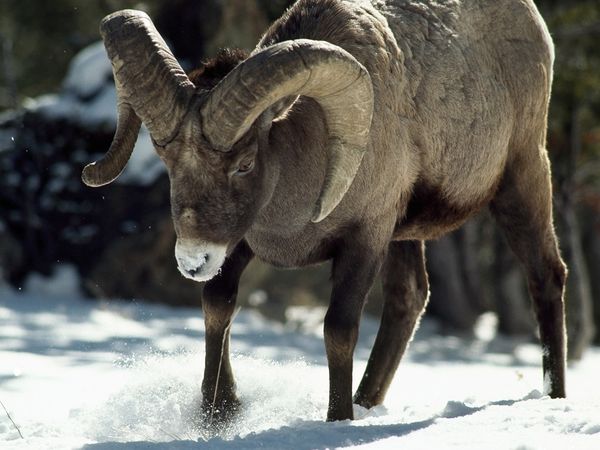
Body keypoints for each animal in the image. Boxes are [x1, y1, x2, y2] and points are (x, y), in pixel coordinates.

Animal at [83, 0, 568, 422]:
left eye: (244, 163)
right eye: (165, 159)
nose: (193, 260)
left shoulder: (365, 241)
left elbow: (338, 330)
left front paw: (337, 419)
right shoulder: (240, 245)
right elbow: (217, 308)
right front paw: (216, 413)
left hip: (522, 176)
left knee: (546, 275)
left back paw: (554, 397)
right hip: (406, 236)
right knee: (409, 299)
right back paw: (367, 403)